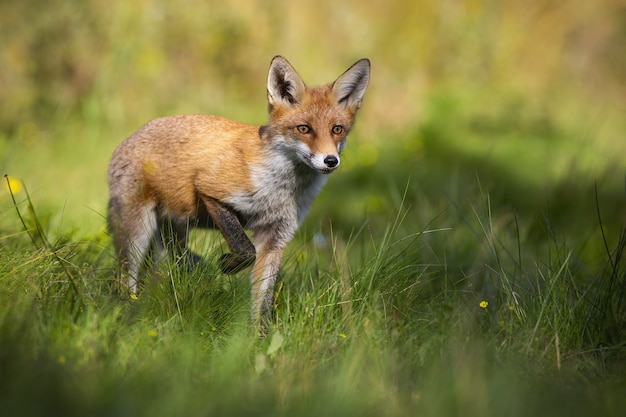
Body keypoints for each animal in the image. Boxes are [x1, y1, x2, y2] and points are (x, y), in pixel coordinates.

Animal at [108, 55, 370, 322]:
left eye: (337, 129)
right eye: (304, 129)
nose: (330, 160)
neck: (279, 190)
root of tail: (127, 140)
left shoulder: (276, 236)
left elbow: (262, 302)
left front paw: (259, 334)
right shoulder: (210, 190)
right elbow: (245, 249)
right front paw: (226, 263)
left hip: (173, 236)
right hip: (137, 234)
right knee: (124, 280)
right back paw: (126, 311)